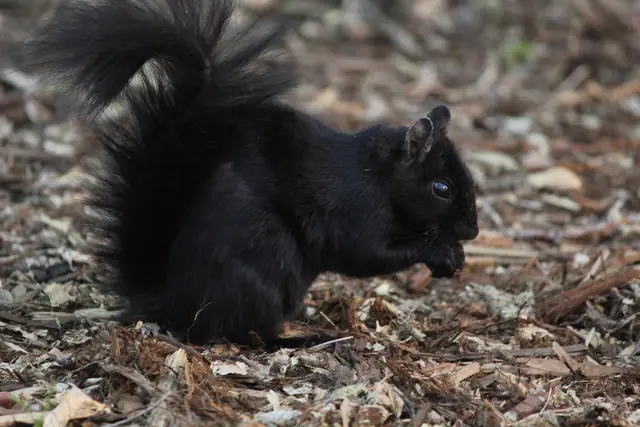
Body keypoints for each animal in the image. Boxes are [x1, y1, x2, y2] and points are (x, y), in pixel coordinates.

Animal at [22, 0, 479, 348]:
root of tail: (173, 302)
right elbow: (368, 253)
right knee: (244, 333)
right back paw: (298, 339)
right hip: (264, 263)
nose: (472, 231)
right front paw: (440, 252)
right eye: (441, 188)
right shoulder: (353, 208)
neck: (378, 175)